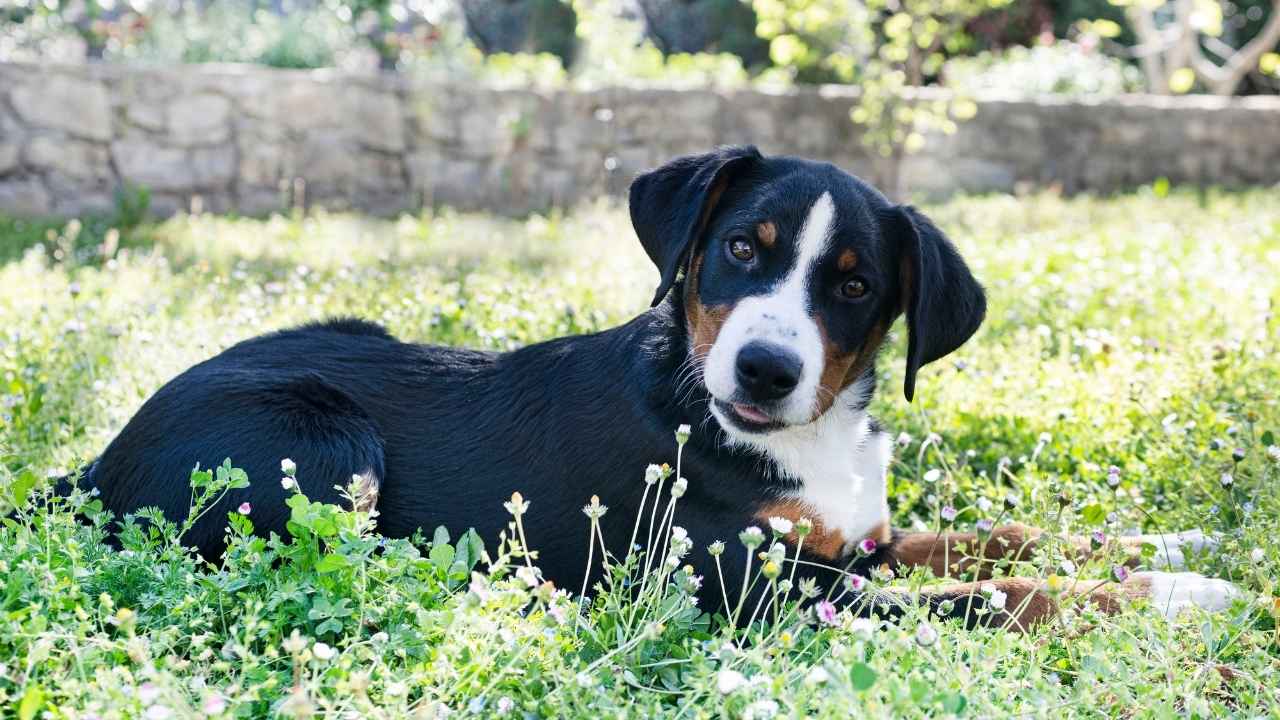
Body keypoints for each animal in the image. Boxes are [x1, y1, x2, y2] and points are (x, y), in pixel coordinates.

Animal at [74, 146, 1233, 627]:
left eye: (855, 284)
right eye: (739, 247)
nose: (765, 369)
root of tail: (92, 464)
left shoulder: (845, 538)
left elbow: (992, 537)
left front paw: (1174, 547)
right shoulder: (755, 582)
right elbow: (993, 590)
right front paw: (1177, 600)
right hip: (325, 439)